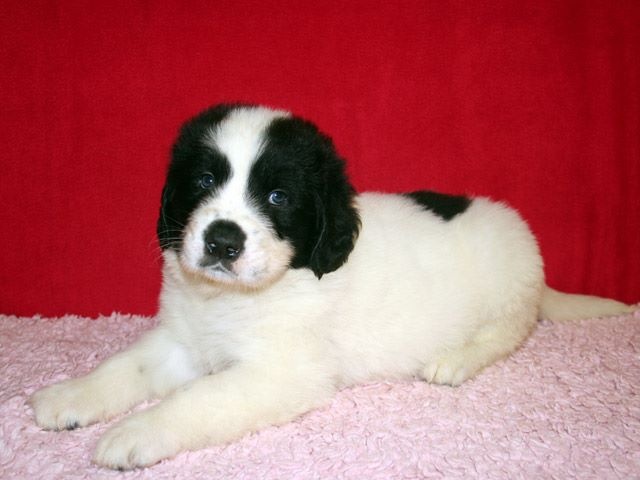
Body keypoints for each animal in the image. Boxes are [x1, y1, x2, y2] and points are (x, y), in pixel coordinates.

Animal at [29, 104, 635, 469]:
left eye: (278, 197)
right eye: (203, 180)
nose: (223, 240)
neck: (238, 299)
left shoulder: (279, 373)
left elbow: (196, 399)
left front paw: (134, 433)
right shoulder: (183, 338)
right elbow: (124, 367)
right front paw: (68, 397)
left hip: (505, 288)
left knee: (506, 334)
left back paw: (454, 360)